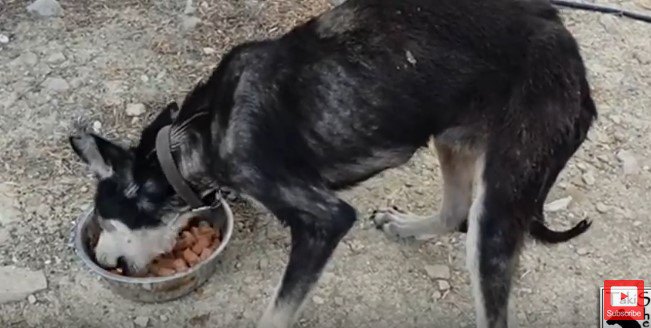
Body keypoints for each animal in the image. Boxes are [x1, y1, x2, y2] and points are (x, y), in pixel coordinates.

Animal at [69, 0, 600, 326]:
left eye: (108, 222)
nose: (105, 262)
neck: (190, 136)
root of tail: (569, 48)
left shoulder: (323, 219)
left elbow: (278, 311)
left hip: (499, 206)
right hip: (452, 136)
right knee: (454, 212)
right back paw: (408, 226)